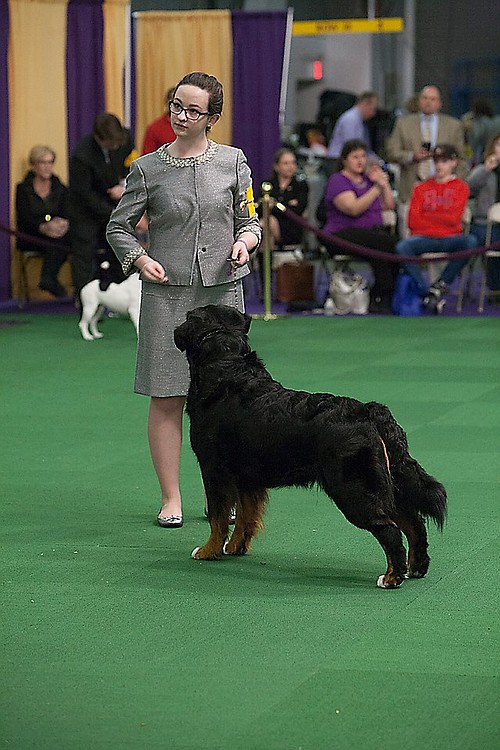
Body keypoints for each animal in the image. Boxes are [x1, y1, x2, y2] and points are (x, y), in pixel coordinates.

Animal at [174, 304, 448, 588]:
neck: (226, 367)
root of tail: (367, 410)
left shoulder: (214, 470)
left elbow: (218, 518)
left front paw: (209, 550)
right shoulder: (247, 478)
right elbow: (245, 516)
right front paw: (236, 546)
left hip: (354, 489)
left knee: (390, 529)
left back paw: (393, 576)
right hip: (388, 483)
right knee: (414, 523)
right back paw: (415, 568)